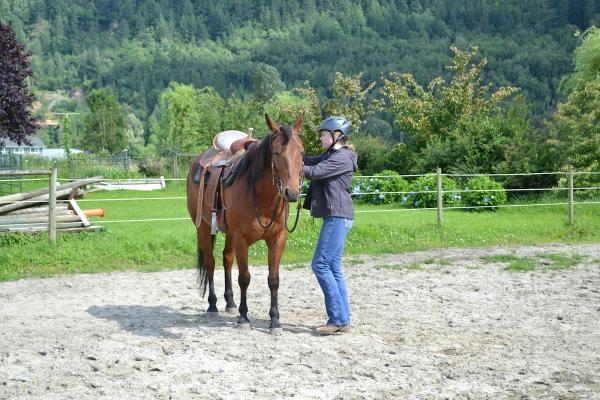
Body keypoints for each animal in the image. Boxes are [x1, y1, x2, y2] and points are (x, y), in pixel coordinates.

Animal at [186, 113, 304, 334]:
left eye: (301, 152)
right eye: (276, 153)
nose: (291, 193)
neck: (261, 197)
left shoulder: (277, 238)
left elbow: (273, 280)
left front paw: (275, 321)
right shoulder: (241, 239)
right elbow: (245, 278)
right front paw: (243, 317)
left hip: (229, 233)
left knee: (227, 259)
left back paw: (230, 302)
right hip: (203, 228)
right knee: (210, 263)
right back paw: (213, 305)